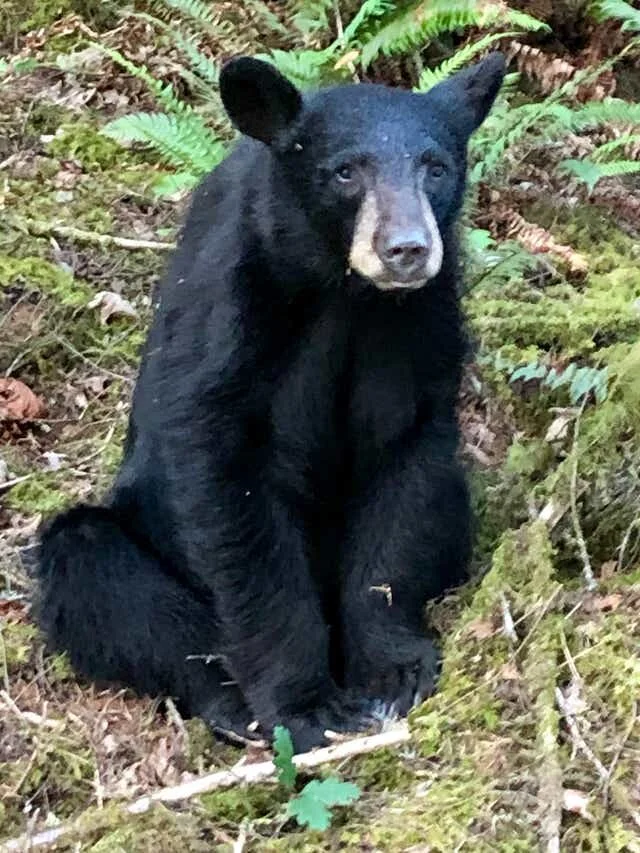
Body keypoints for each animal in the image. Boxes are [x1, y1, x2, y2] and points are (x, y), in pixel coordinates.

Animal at [35, 53, 506, 753]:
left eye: (437, 167)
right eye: (345, 171)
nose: (407, 249)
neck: (344, 293)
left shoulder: (420, 325)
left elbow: (406, 467)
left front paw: (391, 670)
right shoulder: (233, 313)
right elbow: (230, 492)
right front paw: (305, 703)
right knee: (94, 569)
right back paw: (229, 700)